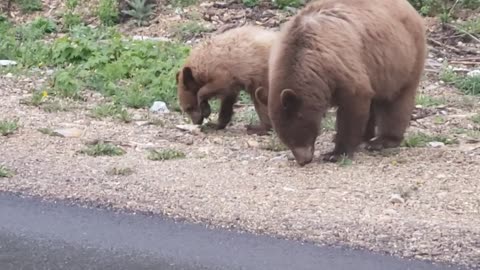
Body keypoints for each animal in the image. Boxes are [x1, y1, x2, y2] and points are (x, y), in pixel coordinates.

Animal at [256, 0, 426, 167]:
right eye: (285, 139)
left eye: (295, 135)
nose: (303, 160)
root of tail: (410, 8)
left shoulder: (340, 64)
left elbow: (354, 101)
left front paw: (336, 153)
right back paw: (365, 136)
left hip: (402, 57)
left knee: (396, 100)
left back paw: (382, 140)